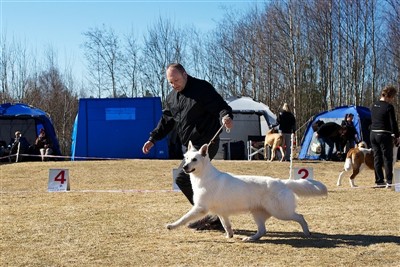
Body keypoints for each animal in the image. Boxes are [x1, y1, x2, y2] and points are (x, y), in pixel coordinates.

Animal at [166, 141, 328, 242]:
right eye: (186, 158)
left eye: (194, 160)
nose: (185, 167)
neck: (204, 177)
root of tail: (283, 182)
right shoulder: (222, 213)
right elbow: (226, 226)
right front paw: (229, 236)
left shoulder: (200, 208)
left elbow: (184, 218)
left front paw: (172, 226)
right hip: (258, 214)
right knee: (263, 231)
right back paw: (250, 238)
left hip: (281, 212)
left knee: (300, 217)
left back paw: (307, 232)